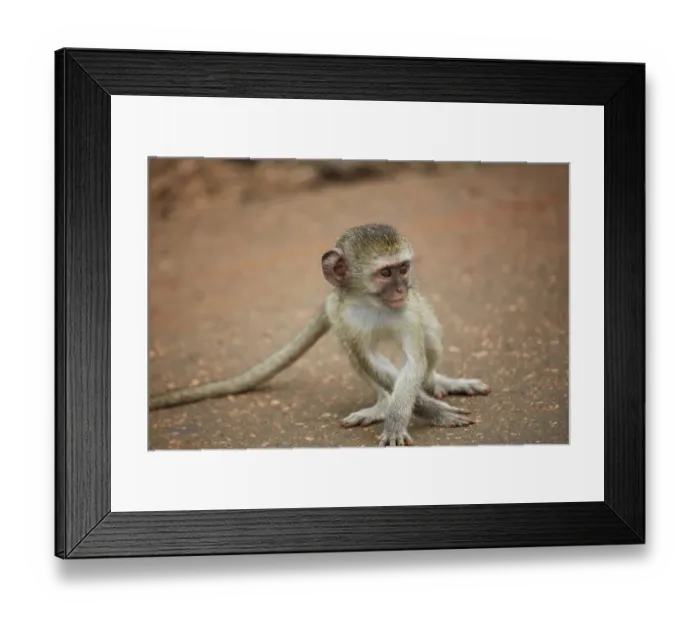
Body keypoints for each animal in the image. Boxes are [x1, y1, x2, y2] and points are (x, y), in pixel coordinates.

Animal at [148, 223, 491, 447]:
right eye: (385, 273)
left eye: (403, 268)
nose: (401, 290)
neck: (372, 303)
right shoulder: (342, 315)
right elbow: (370, 359)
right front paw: (424, 412)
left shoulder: (407, 312)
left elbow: (413, 361)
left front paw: (406, 415)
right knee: (356, 356)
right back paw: (383, 404)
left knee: (429, 339)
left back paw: (436, 382)